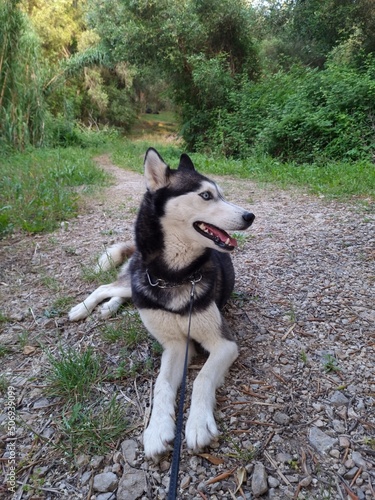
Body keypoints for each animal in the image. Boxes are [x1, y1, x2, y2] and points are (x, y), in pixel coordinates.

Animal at [69, 149, 256, 460]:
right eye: (206, 196)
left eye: (222, 194)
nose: (250, 216)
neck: (176, 277)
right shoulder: (175, 344)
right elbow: (162, 384)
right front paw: (157, 430)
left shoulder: (223, 343)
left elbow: (202, 378)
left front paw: (197, 424)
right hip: (137, 279)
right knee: (107, 287)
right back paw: (83, 309)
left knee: (121, 293)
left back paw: (108, 308)